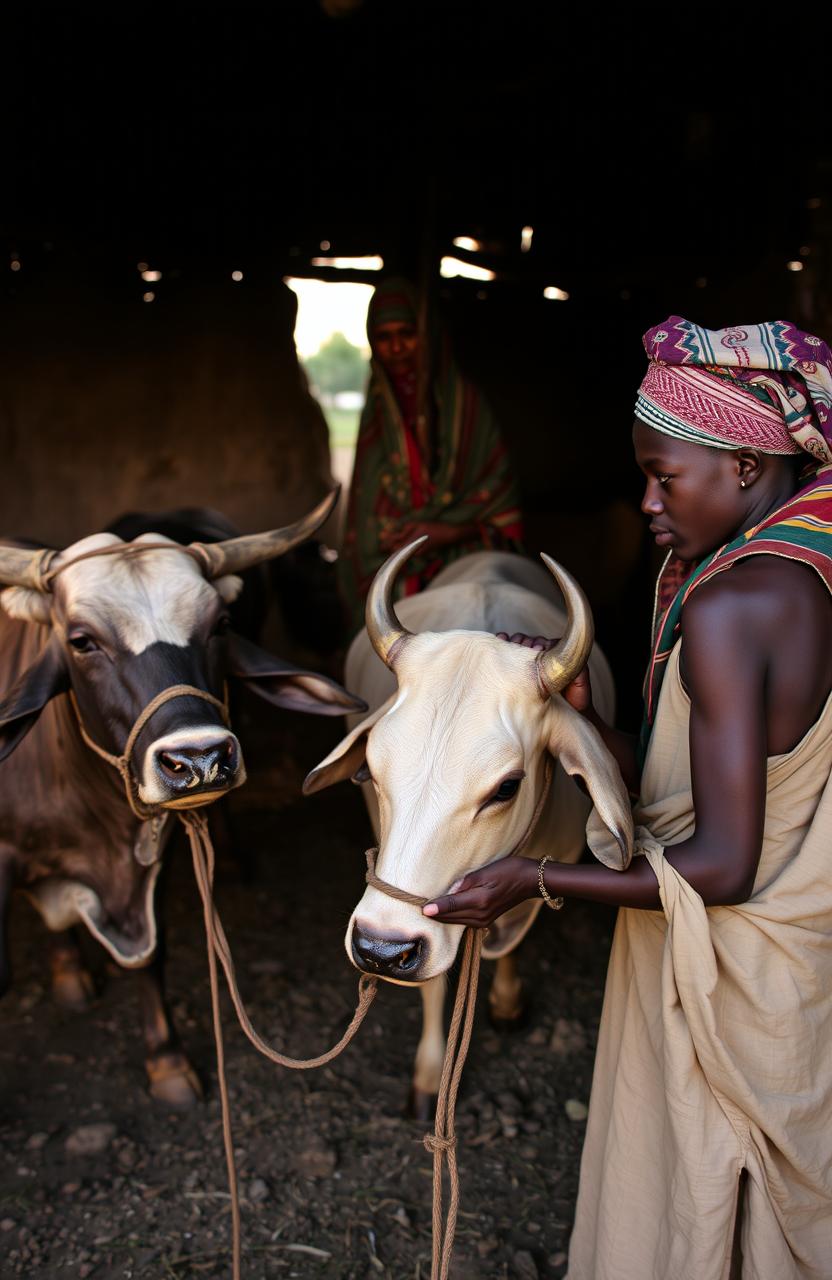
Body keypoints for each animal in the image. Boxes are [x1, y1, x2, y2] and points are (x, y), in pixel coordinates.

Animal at [304, 545, 629, 1116]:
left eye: (506, 787)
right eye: (373, 770)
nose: (380, 948)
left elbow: (514, 940)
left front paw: (507, 1004)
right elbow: (433, 984)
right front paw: (429, 1073)